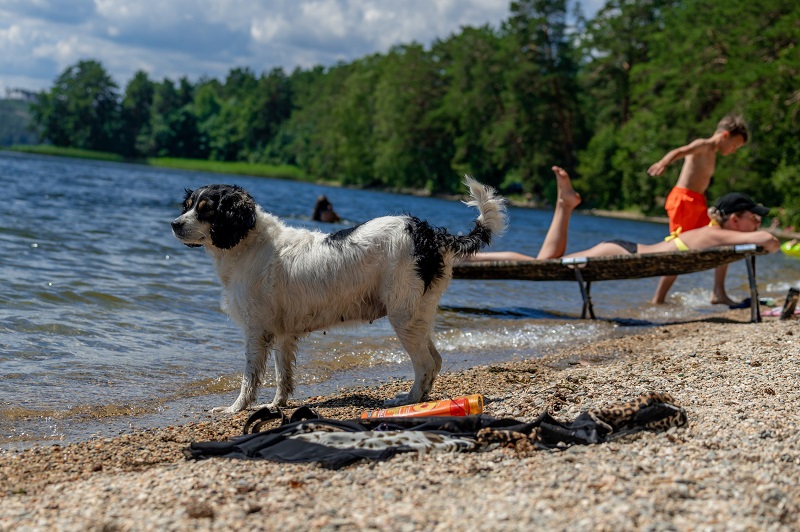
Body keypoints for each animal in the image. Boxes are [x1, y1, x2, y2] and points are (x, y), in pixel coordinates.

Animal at [172, 179, 506, 412]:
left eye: (206, 209)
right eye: (187, 205)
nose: (174, 224)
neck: (250, 242)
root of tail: (431, 233)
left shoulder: (257, 331)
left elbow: (249, 378)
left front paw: (235, 408)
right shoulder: (282, 333)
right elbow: (283, 376)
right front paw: (276, 405)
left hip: (402, 316)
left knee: (424, 363)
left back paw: (406, 400)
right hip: (418, 313)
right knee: (435, 360)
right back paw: (420, 398)